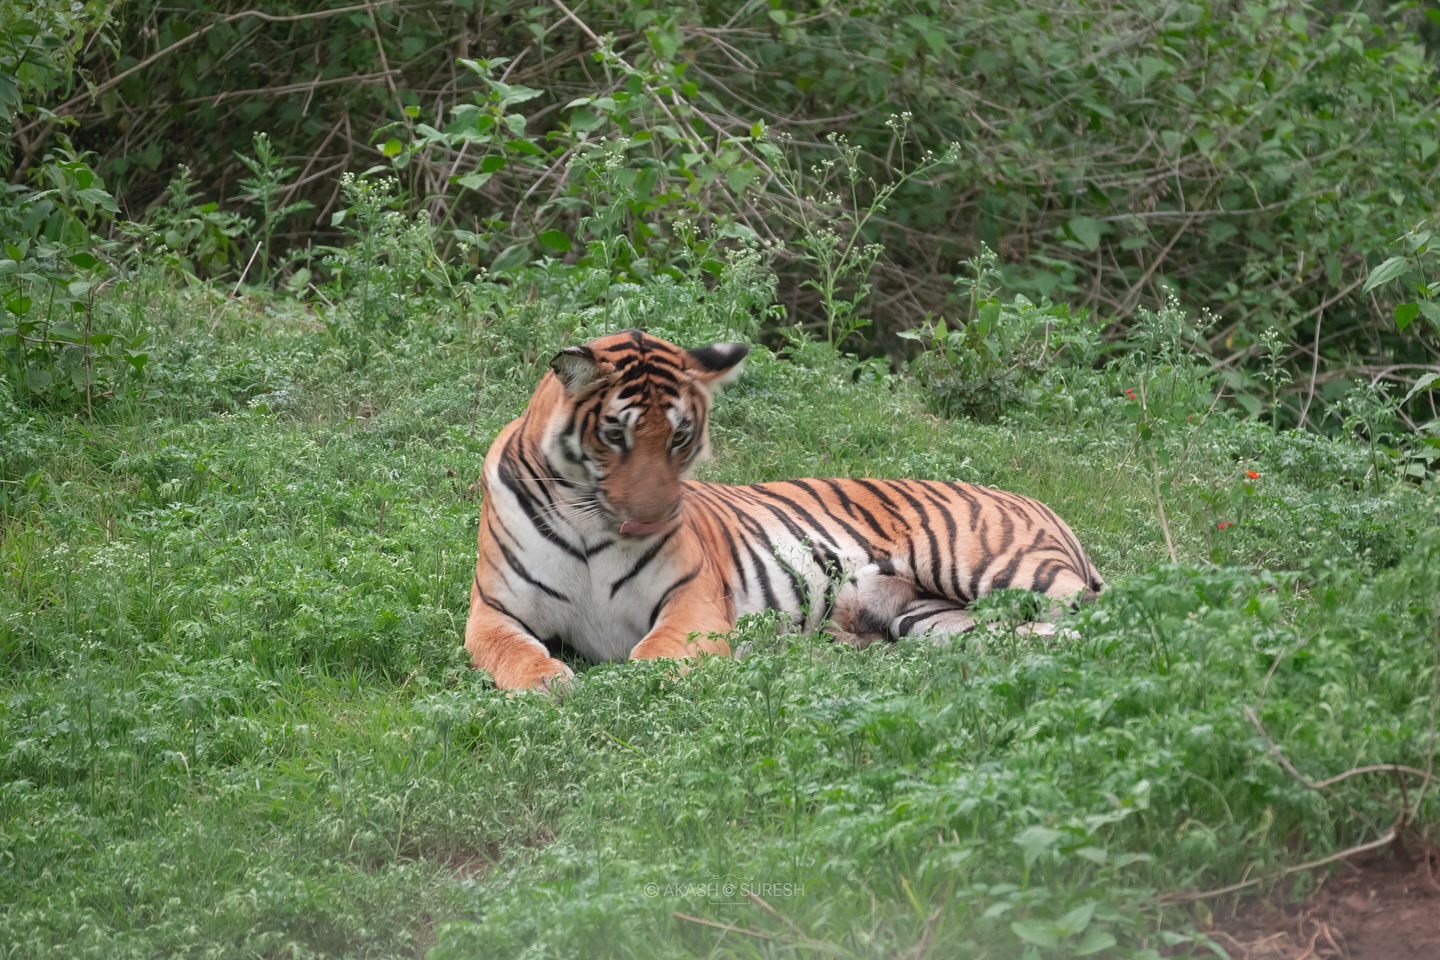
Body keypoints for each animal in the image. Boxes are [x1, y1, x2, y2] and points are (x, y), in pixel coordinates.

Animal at [464, 328, 1105, 691]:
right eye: (614, 436)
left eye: (679, 438)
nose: (650, 519)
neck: (588, 524)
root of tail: (1034, 498)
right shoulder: (493, 611)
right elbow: (511, 652)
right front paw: (549, 683)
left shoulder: (693, 603)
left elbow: (653, 657)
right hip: (938, 621)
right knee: (1038, 636)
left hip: (986, 567)